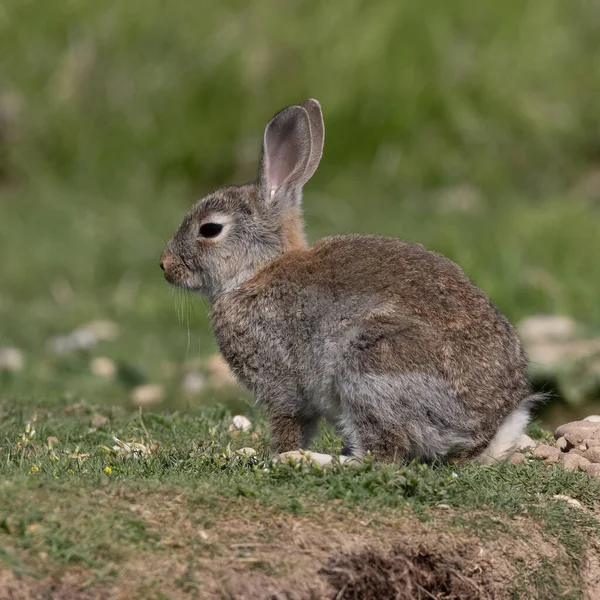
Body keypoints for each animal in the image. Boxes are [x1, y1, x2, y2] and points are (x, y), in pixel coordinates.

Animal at [161, 98, 540, 464]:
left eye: (210, 229)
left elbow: (289, 424)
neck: (257, 270)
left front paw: (276, 455)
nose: (165, 266)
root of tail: (484, 436)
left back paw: (316, 460)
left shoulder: (281, 383)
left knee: (380, 455)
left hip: (370, 370)